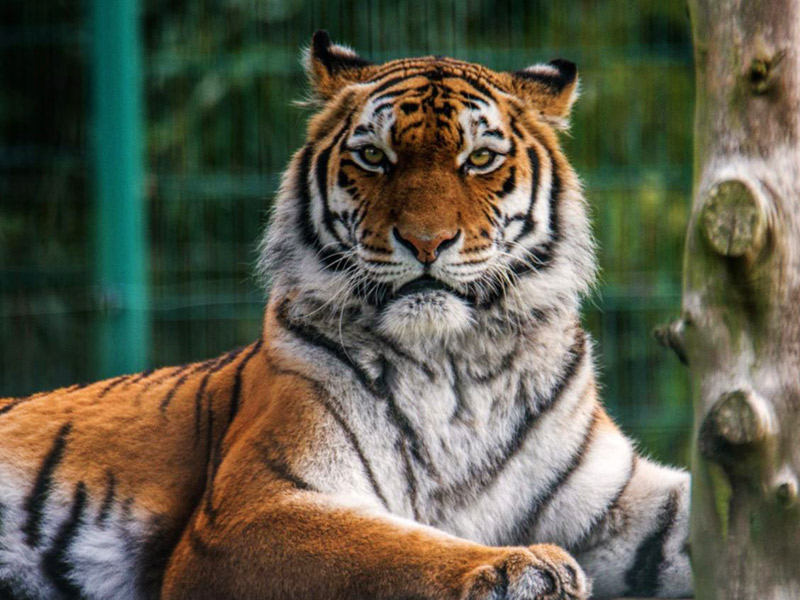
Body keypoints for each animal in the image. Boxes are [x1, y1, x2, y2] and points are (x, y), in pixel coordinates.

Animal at [0, 31, 692, 600]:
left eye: (479, 159)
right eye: (375, 158)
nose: (426, 241)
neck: (458, 365)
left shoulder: (619, 498)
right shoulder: (253, 509)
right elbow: (391, 548)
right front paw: (519, 568)